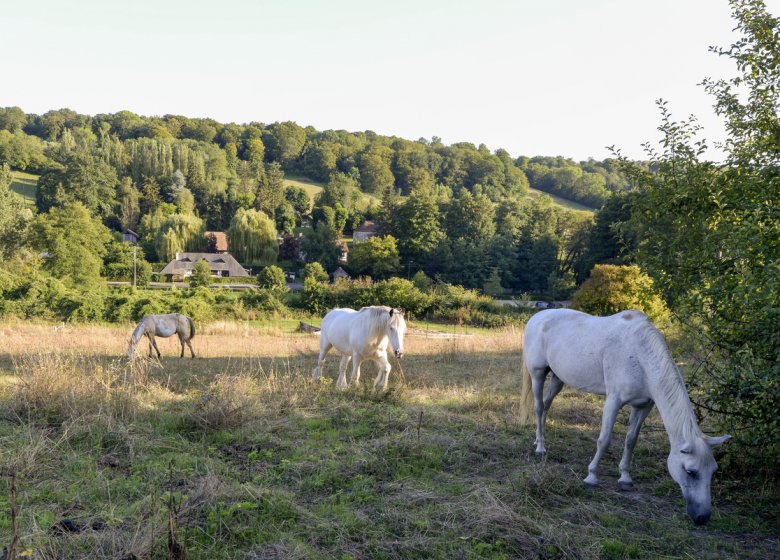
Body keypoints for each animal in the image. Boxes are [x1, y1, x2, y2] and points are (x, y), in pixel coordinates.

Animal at [516, 308, 732, 524]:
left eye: (713, 471)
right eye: (690, 471)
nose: (702, 517)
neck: (639, 356)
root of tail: (537, 316)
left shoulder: (643, 406)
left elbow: (631, 440)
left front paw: (625, 478)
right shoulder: (614, 400)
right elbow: (604, 440)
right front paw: (591, 476)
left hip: (557, 378)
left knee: (546, 406)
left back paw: (538, 440)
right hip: (538, 373)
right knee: (538, 407)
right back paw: (540, 448)